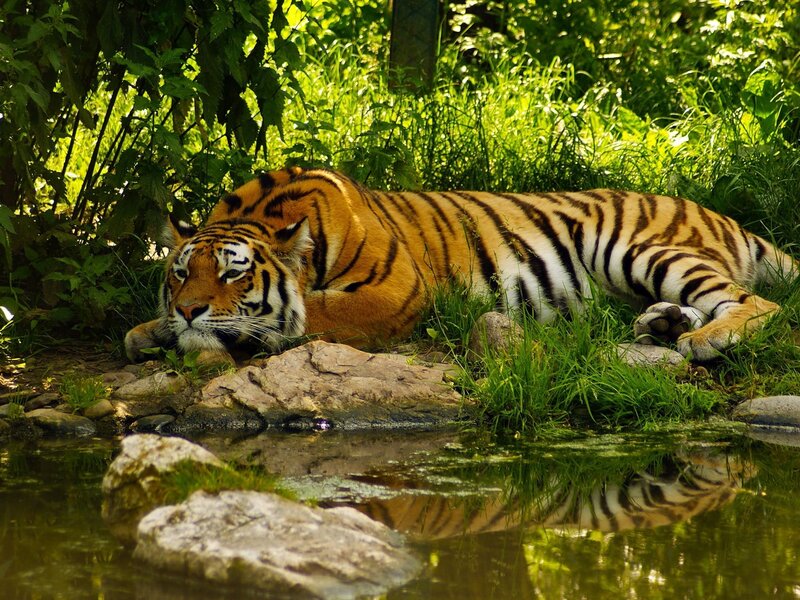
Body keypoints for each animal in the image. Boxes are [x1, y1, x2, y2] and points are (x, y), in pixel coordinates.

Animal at [124, 166, 796, 364]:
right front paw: (150, 330)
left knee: (758, 303)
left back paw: (705, 340)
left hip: (638, 247)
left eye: (234, 273)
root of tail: (720, 214)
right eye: (181, 272)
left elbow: (310, 312)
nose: (190, 310)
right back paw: (664, 325)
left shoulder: (395, 291)